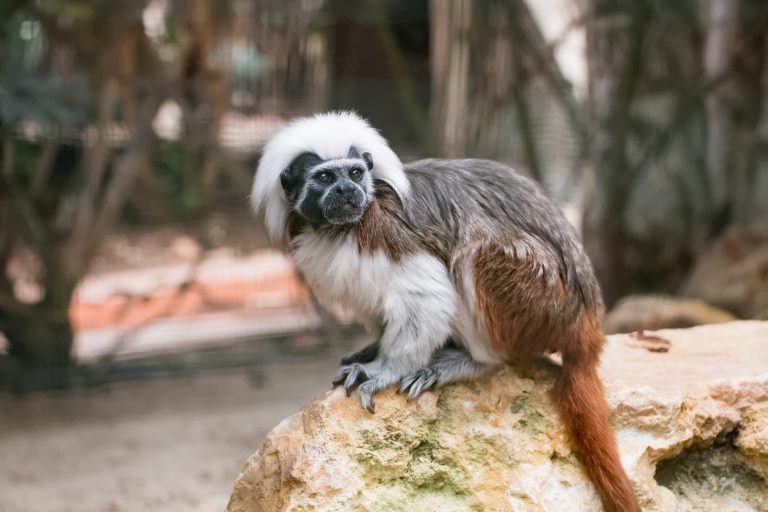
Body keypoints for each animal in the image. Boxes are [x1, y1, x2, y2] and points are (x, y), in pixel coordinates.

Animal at [251, 111, 640, 512]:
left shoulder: (387, 231)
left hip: (543, 302)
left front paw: (384, 369)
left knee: (475, 253)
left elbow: (427, 294)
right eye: (326, 177)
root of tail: (587, 320)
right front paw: (373, 348)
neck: (336, 229)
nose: (346, 191)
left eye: (355, 173)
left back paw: (469, 361)